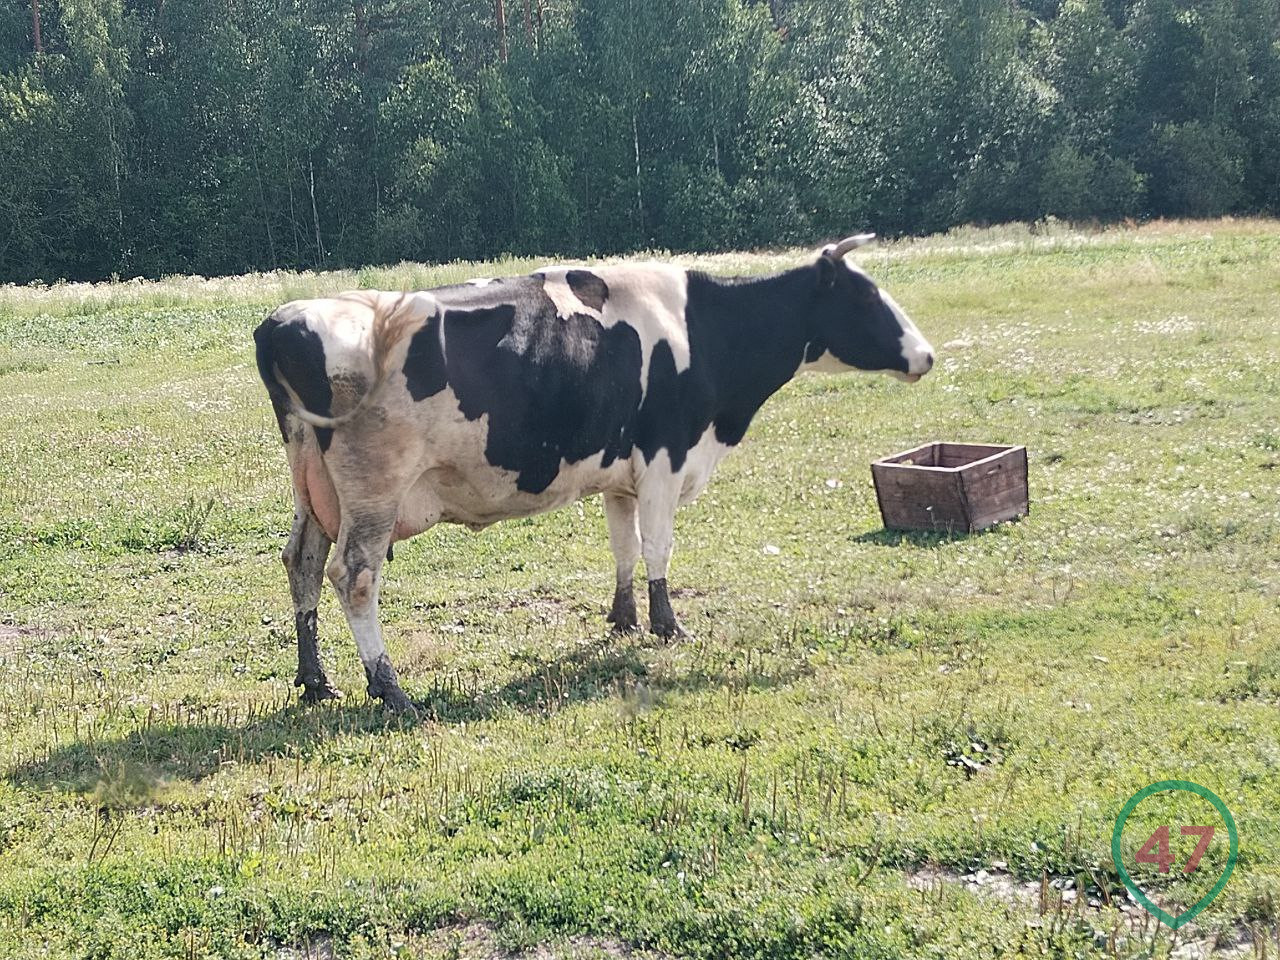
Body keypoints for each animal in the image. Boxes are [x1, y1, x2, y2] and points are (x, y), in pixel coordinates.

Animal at [254, 235, 931, 711]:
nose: (925, 354)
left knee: (302, 562)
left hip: (314, 489)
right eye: (865, 297)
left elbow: (624, 546)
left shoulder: (621, 473)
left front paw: (624, 618)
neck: (701, 330)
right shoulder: (665, 458)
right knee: (354, 577)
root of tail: (282, 319)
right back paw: (389, 687)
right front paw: (668, 626)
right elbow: (658, 548)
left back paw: (315, 681)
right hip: (375, 491)